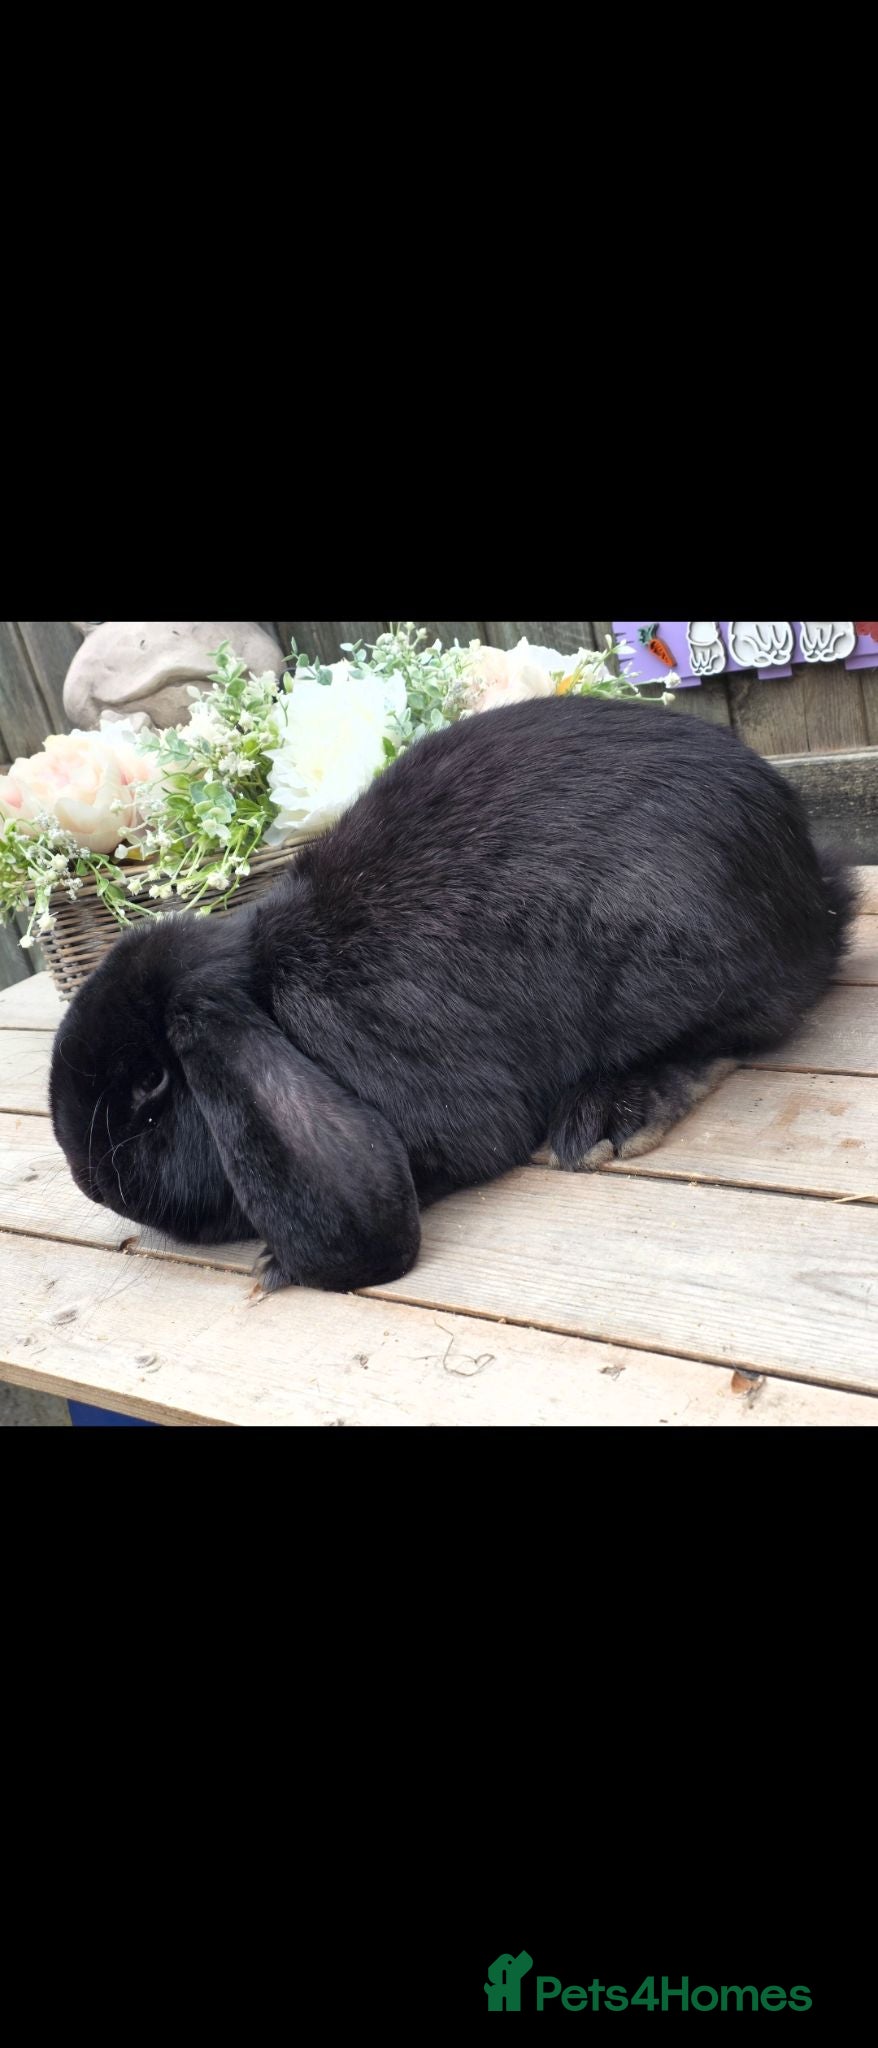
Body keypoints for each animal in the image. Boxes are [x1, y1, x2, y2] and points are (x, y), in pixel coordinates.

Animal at [50, 697, 857, 1295]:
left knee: (728, 1037)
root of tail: (815, 888)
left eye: (151, 1082)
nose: (91, 1185)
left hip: (683, 960)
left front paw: (275, 1264)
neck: (272, 1002)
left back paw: (613, 1115)